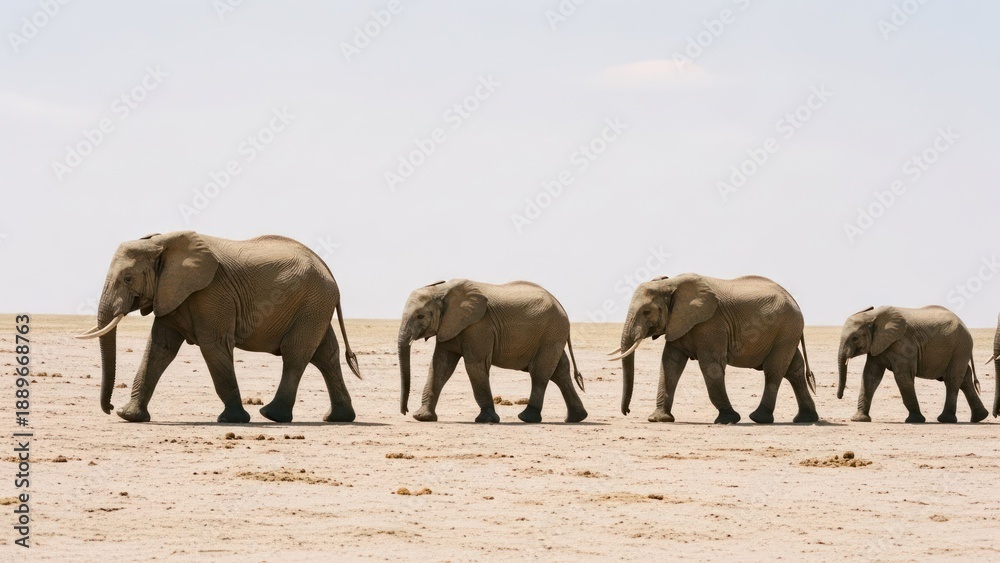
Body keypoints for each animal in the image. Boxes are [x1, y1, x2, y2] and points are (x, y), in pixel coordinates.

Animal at [76, 231, 362, 423]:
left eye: (128, 278)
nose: (109, 408)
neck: (162, 242)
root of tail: (328, 270)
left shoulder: (211, 294)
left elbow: (214, 346)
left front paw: (232, 420)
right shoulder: (172, 294)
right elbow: (159, 348)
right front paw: (129, 416)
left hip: (311, 304)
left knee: (296, 355)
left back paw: (271, 415)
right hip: (315, 307)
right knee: (326, 355)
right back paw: (338, 418)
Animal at [397, 279, 588, 424]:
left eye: (420, 316)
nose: (404, 411)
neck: (442, 290)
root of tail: (561, 306)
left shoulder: (478, 326)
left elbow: (475, 365)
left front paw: (486, 419)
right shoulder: (450, 326)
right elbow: (440, 366)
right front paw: (422, 417)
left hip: (551, 333)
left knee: (540, 373)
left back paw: (527, 418)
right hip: (552, 336)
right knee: (560, 372)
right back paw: (576, 418)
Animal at [612, 273, 818, 424]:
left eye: (647, 312)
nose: (627, 411)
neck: (670, 284)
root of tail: (793, 300)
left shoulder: (710, 324)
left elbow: (710, 365)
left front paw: (727, 419)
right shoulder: (678, 323)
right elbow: (670, 364)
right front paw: (658, 419)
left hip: (786, 329)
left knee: (774, 370)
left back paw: (759, 418)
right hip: (787, 333)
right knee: (794, 370)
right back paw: (806, 419)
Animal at [837, 305, 987, 423]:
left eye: (855, 338)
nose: (840, 396)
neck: (872, 316)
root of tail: (964, 324)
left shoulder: (903, 345)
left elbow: (903, 376)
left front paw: (915, 420)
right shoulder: (878, 345)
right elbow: (870, 376)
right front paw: (859, 419)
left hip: (960, 347)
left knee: (952, 379)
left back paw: (946, 420)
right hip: (959, 349)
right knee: (965, 379)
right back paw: (980, 417)